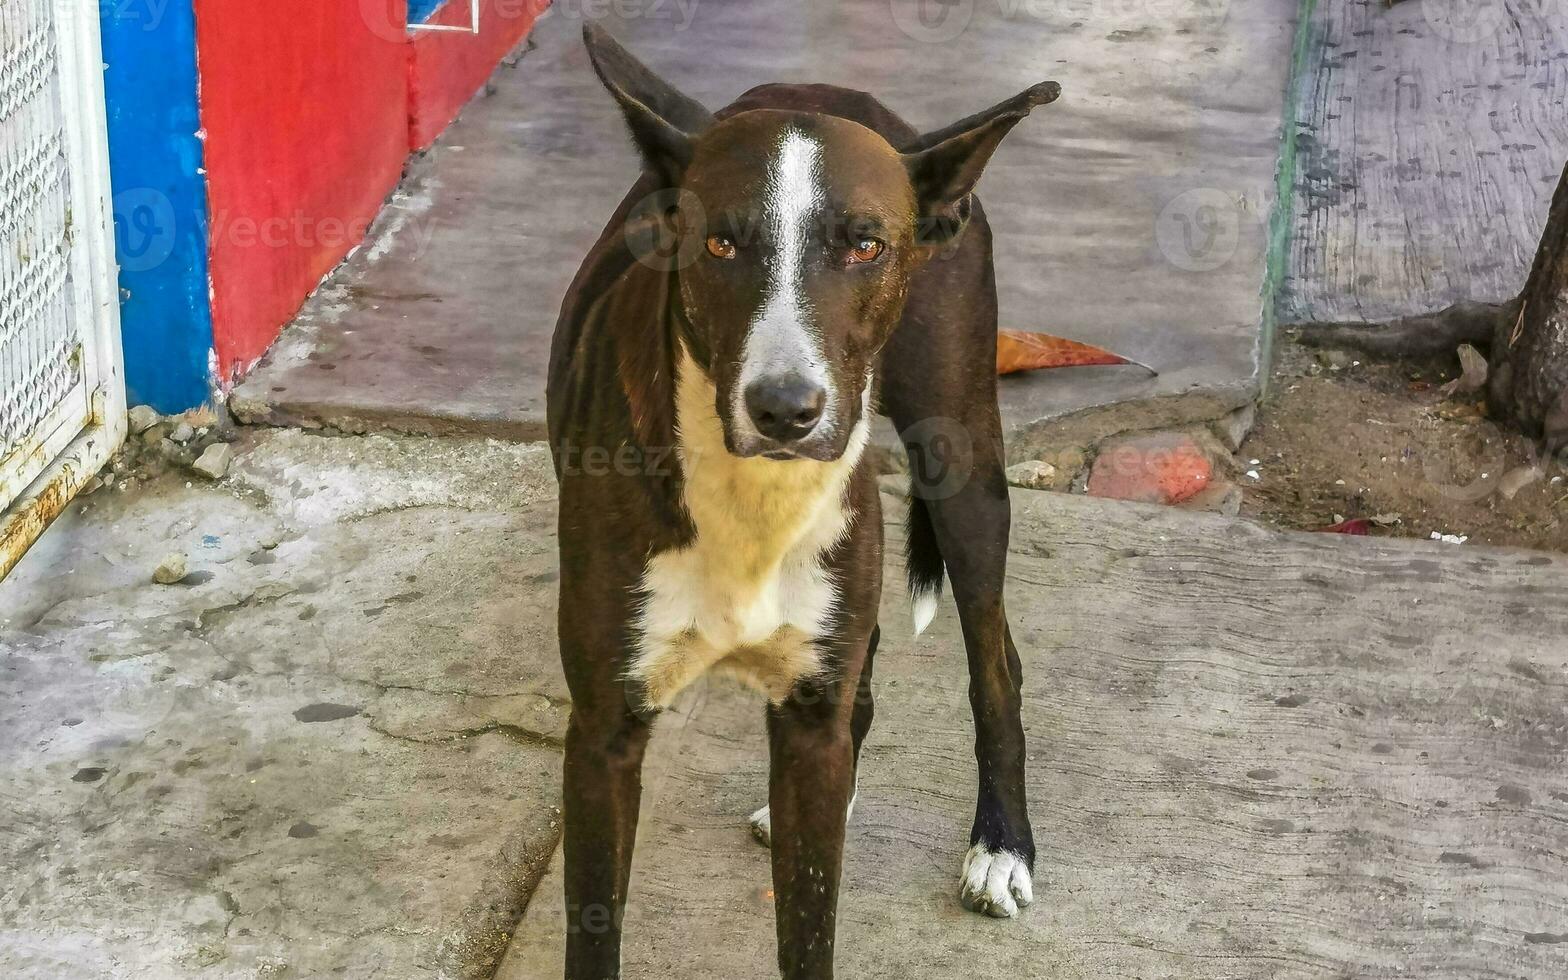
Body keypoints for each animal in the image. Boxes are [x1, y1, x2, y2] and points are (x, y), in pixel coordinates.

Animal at [545, 24, 1059, 978]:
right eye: (719, 246)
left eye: (866, 246)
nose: (785, 409)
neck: (757, 499)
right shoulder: (603, 732)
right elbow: (596, 933)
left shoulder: (810, 716)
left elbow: (810, 933)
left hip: (961, 459)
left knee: (996, 661)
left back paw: (1002, 846)